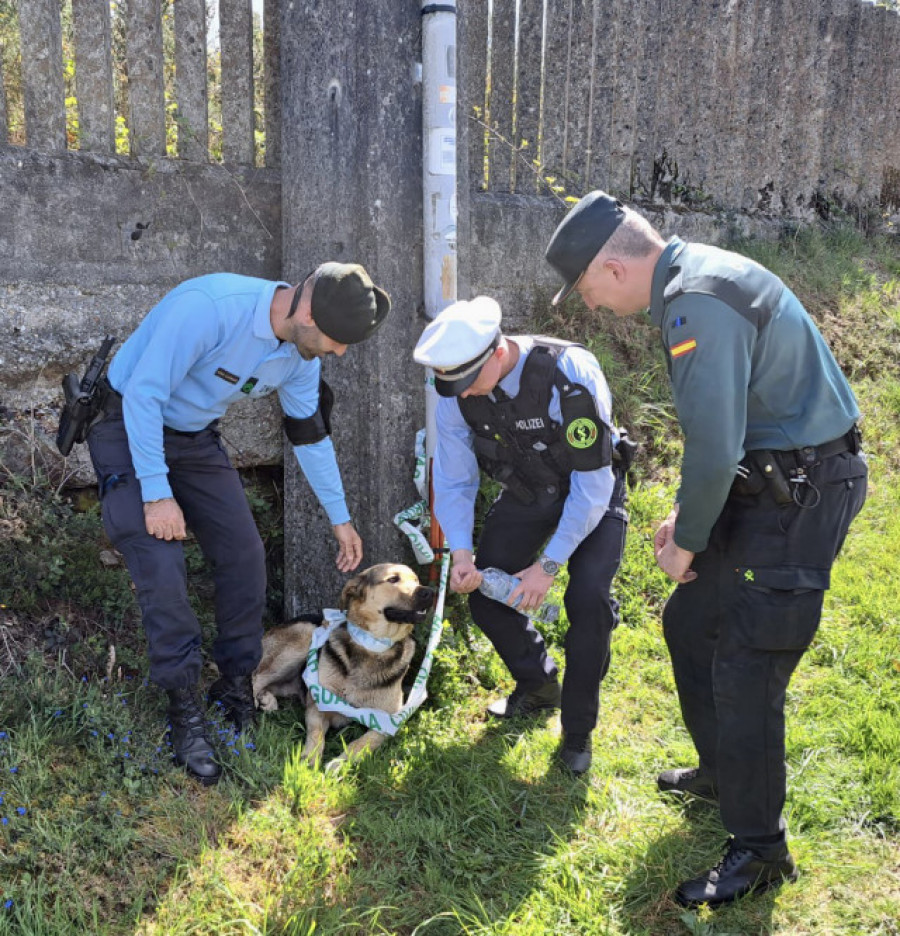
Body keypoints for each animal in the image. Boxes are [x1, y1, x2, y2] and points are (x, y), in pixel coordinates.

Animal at [253, 564, 436, 768]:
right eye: (393, 579)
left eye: (416, 580)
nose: (430, 592)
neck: (372, 646)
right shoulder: (318, 707)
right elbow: (316, 735)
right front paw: (310, 759)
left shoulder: (387, 722)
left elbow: (361, 743)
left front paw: (339, 764)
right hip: (304, 636)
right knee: (256, 677)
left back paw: (267, 699)